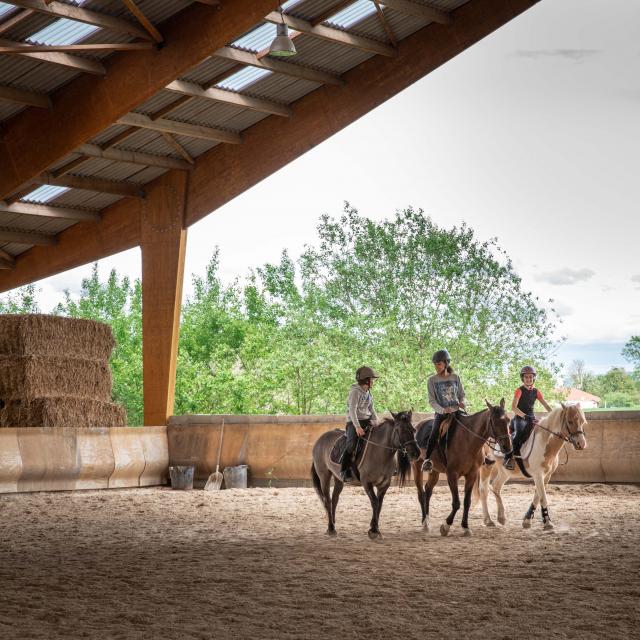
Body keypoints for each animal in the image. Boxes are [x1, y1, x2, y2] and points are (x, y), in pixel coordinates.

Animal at [312, 410, 420, 540]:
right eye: (401, 430)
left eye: (413, 430)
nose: (416, 453)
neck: (379, 452)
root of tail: (320, 439)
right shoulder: (366, 482)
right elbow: (375, 502)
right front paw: (373, 530)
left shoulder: (384, 484)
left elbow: (379, 504)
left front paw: (375, 529)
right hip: (324, 476)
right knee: (327, 500)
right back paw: (331, 528)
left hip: (338, 478)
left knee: (334, 499)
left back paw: (333, 524)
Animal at [412, 402, 512, 536]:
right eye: (495, 422)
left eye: (508, 420)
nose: (507, 447)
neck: (467, 439)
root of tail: (417, 425)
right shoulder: (452, 475)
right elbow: (456, 503)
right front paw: (446, 526)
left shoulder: (471, 475)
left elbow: (466, 502)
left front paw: (465, 527)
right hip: (416, 466)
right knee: (420, 494)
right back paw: (424, 524)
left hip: (435, 471)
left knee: (428, 491)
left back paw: (427, 522)